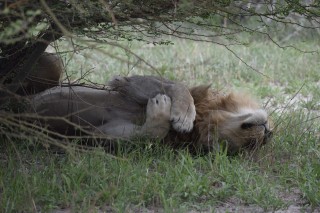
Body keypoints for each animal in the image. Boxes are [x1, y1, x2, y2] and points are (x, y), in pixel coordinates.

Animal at [30, 75, 272, 153]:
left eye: (251, 145)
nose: (267, 134)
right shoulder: (129, 83)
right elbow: (179, 87)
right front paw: (183, 115)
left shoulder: (100, 134)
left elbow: (146, 135)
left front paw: (160, 110)